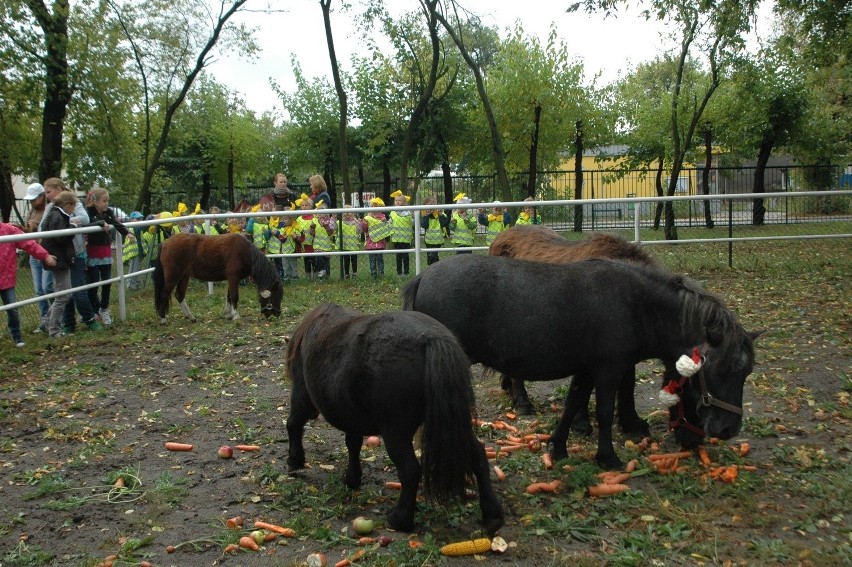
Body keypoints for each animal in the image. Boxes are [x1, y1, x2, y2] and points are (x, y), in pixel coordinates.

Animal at [153, 233, 282, 324]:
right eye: (275, 296)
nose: (277, 314)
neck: (244, 252)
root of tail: (164, 243)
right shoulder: (233, 277)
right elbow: (234, 296)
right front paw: (236, 316)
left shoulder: (233, 279)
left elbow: (229, 296)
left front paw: (228, 314)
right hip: (173, 277)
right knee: (164, 294)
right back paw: (163, 319)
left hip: (184, 277)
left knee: (179, 295)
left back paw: (191, 317)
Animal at [286, 304, 502, 536]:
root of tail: (433, 339)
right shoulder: (352, 417)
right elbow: (353, 444)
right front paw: (352, 478)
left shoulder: (303, 395)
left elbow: (293, 424)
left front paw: (295, 460)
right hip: (455, 425)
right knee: (479, 456)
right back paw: (492, 515)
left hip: (395, 433)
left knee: (410, 470)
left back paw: (400, 519)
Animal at [402, 255, 764, 468]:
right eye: (725, 369)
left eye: (746, 372)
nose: (729, 429)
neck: (635, 303)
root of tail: (423, 277)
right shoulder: (608, 370)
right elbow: (602, 412)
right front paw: (608, 457)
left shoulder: (587, 369)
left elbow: (573, 403)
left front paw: (558, 447)